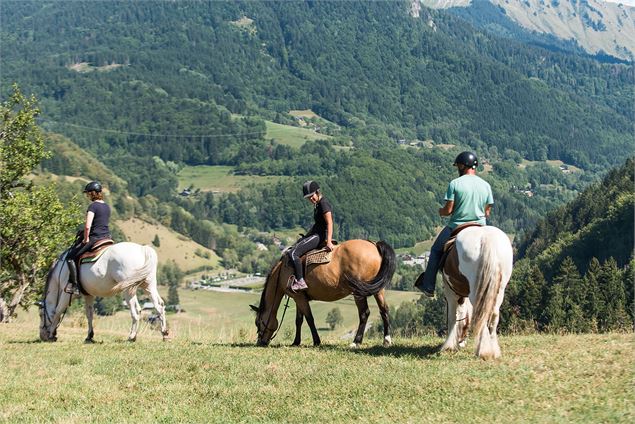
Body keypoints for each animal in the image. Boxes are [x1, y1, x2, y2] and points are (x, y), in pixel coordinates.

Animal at [38, 240, 169, 342]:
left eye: (40, 314)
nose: (42, 336)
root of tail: (142, 249)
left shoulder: (66, 293)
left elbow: (58, 311)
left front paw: (52, 334)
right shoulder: (89, 295)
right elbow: (89, 314)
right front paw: (89, 336)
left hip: (128, 289)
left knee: (136, 311)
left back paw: (132, 336)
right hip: (149, 286)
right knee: (159, 305)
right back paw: (164, 333)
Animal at [251, 240, 396, 346]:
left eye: (258, 322)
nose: (260, 342)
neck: (282, 271)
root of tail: (374, 245)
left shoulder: (299, 298)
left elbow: (309, 319)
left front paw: (316, 341)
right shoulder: (299, 297)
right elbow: (299, 320)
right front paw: (296, 342)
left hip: (359, 292)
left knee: (364, 313)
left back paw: (356, 342)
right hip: (378, 289)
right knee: (384, 310)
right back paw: (386, 340)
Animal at [444, 224, 516, 360]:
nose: (461, 342)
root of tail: (486, 237)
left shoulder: (450, 292)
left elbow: (452, 317)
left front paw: (448, 346)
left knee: (481, 315)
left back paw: (482, 351)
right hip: (500, 290)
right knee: (493, 315)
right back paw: (493, 351)